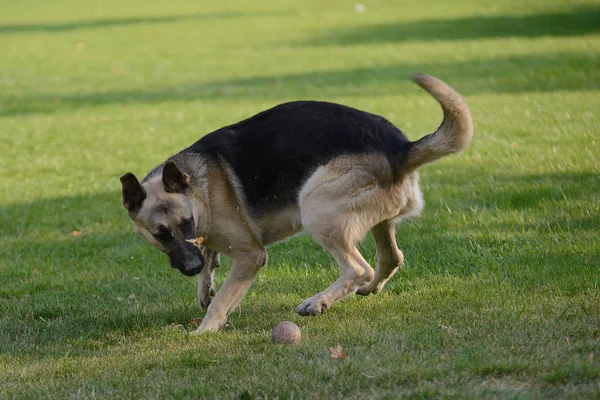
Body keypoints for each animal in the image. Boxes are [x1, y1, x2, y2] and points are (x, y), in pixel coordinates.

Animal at [119, 73, 472, 332]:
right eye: (160, 234)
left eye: (186, 223)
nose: (189, 267)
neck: (199, 188)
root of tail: (401, 148)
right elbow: (210, 263)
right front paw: (205, 286)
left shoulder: (251, 256)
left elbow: (222, 298)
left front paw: (205, 329)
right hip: (376, 219)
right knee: (391, 258)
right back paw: (368, 290)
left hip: (315, 206)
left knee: (359, 268)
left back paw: (317, 302)